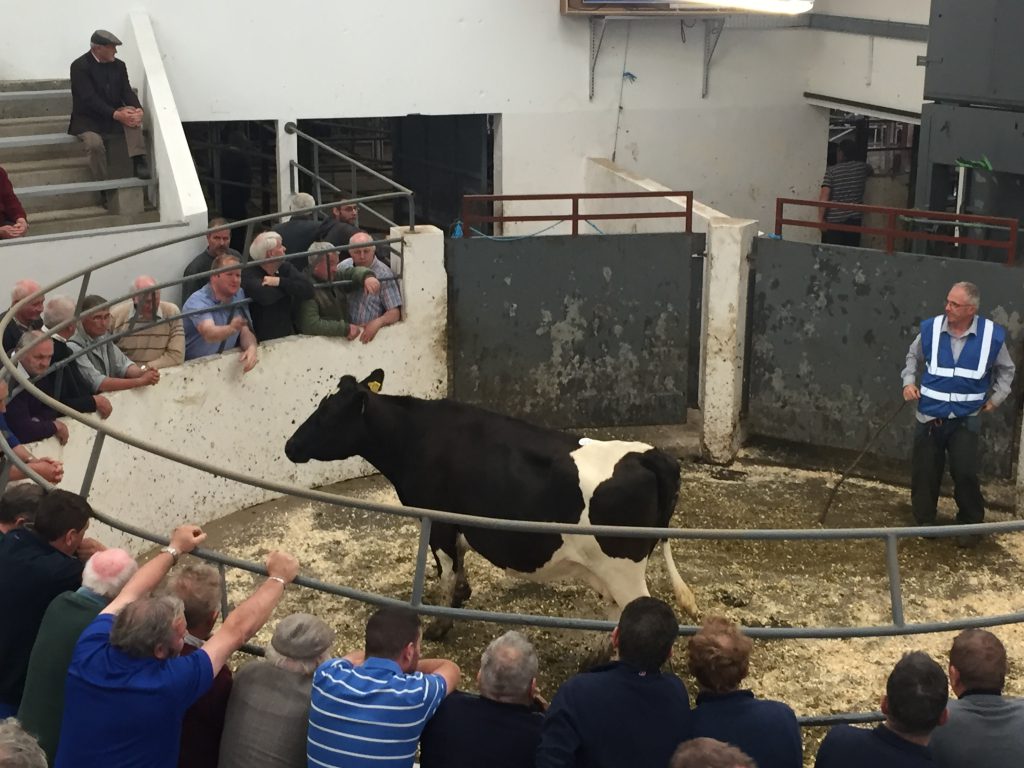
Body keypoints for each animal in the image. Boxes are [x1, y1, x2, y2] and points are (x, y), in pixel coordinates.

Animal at [284, 370, 698, 639]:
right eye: (318, 405)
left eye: (328, 415)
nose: (290, 446)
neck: (415, 436)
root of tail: (650, 455)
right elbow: (459, 562)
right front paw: (462, 595)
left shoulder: (439, 521)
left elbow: (446, 569)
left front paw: (439, 624)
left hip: (623, 567)